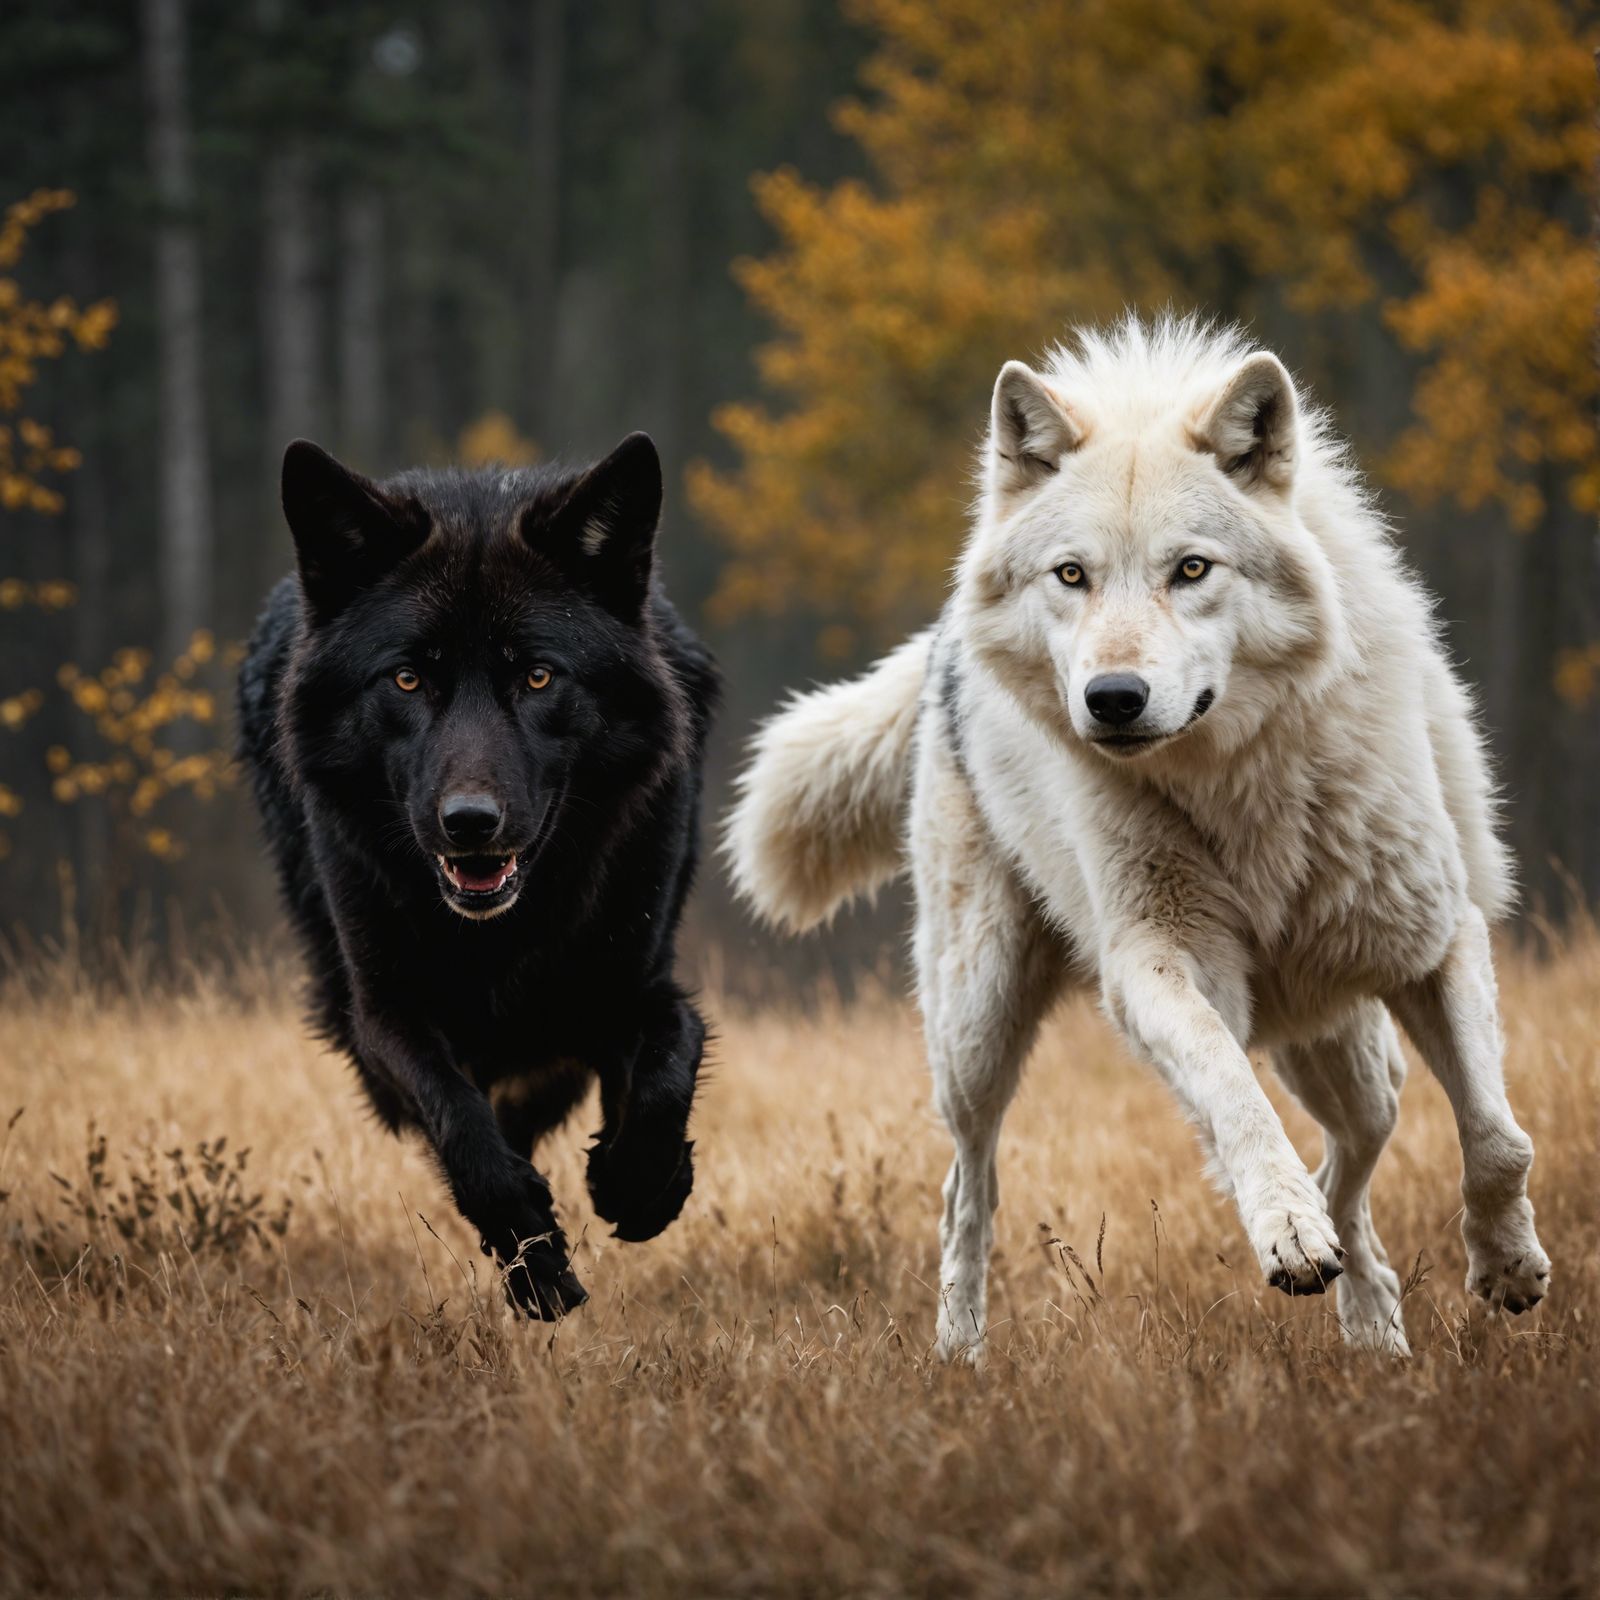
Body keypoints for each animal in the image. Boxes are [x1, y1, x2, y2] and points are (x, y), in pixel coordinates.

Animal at [238, 431, 717, 1317]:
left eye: (537, 676)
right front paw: (536, 1264)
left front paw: (641, 1182)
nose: (469, 823)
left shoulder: (628, 977)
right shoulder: (382, 1009)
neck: (504, 934)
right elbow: (460, 1119)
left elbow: (676, 1044)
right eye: (407, 678)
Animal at [728, 315, 1550, 1360]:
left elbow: (1497, 1134)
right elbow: (1233, 1093)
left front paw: (1508, 1264)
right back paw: (960, 1356)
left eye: (1190, 568)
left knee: (1356, 1158)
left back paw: (1376, 1337)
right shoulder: (1157, 965)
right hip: (976, 1025)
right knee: (968, 1186)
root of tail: (945, 633)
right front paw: (1284, 1228)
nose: (1112, 698)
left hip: (1347, 1051)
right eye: (1072, 575)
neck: (1240, 785)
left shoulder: (1438, 940)